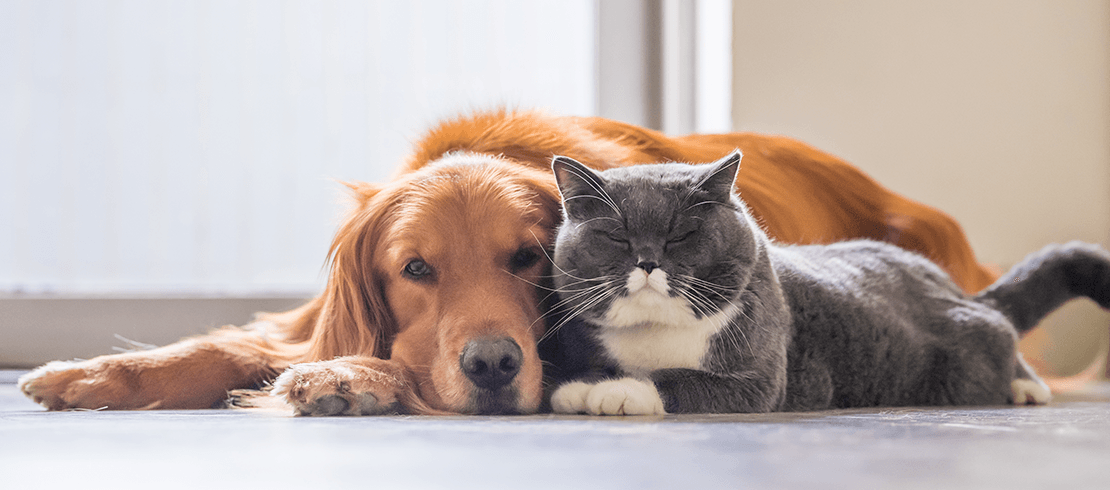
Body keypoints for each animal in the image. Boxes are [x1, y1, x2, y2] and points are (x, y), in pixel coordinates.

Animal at [17, 110, 999, 413]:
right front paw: (89, 374)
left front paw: (351, 379)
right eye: (415, 271)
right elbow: (228, 344)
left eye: (529, 258)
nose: (492, 366)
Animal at [546, 152, 1110, 413]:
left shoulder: (759, 378)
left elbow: (677, 379)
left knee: (1001, 332)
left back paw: (1026, 387)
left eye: (681, 234)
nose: (646, 261)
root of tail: (950, 286)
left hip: (967, 351)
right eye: (617, 237)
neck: (654, 334)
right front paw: (581, 386)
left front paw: (611, 393)